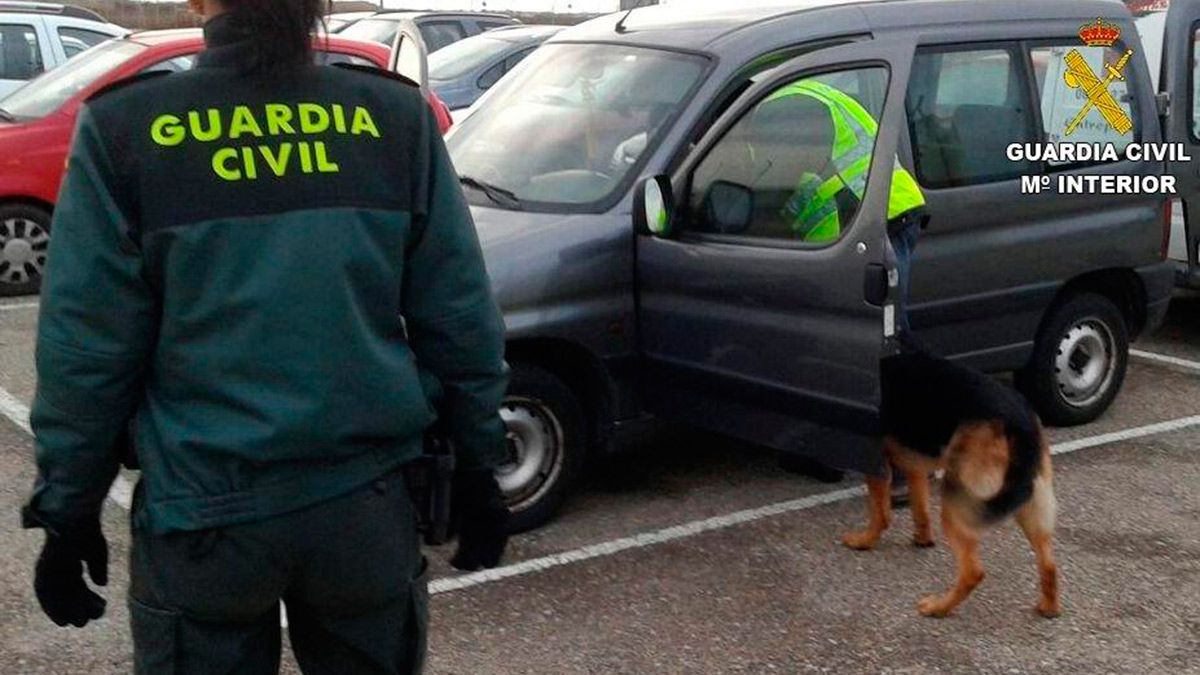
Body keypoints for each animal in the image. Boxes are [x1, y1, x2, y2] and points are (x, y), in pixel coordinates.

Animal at [844, 348, 1060, 619]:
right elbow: (921, 509)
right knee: (1049, 564)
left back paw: (938, 607)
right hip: (1030, 503)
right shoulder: (915, 468)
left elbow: (880, 514)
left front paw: (865, 541)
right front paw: (923, 539)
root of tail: (1018, 423)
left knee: (973, 572)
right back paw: (1049, 608)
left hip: (961, 504)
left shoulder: (879, 468)